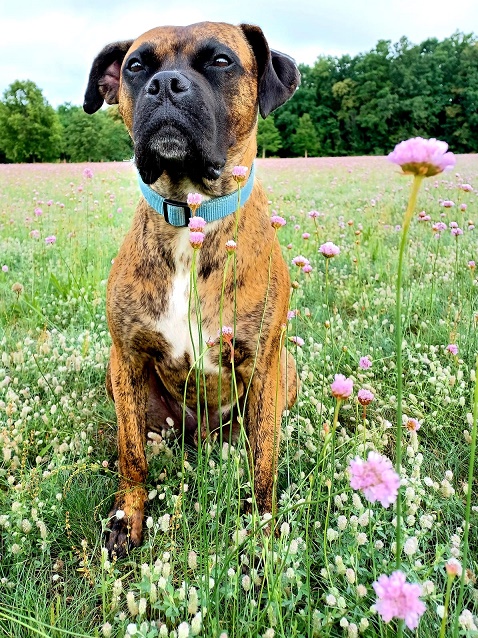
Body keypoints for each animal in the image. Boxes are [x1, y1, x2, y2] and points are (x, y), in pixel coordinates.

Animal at [83, 21, 300, 557]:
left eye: (221, 61)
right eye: (137, 66)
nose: (165, 84)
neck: (191, 217)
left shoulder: (262, 363)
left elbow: (264, 461)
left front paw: (262, 530)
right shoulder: (125, 356)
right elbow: (131, 454)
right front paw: (127, 518)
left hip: (286, 370)